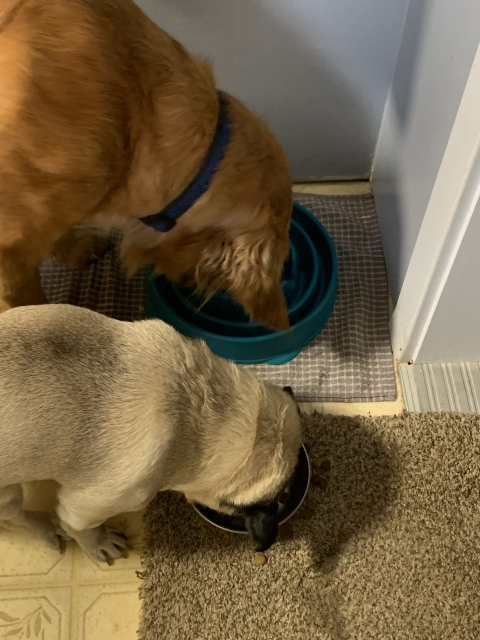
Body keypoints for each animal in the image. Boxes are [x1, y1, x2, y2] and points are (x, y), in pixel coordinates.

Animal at [0, 302, 302, 556]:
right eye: (280, 497)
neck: (203, 404)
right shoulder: (89, 506)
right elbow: (80, 528)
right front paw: (97, 543)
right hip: (9, 494)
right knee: (14, 517)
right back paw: (46, 528)